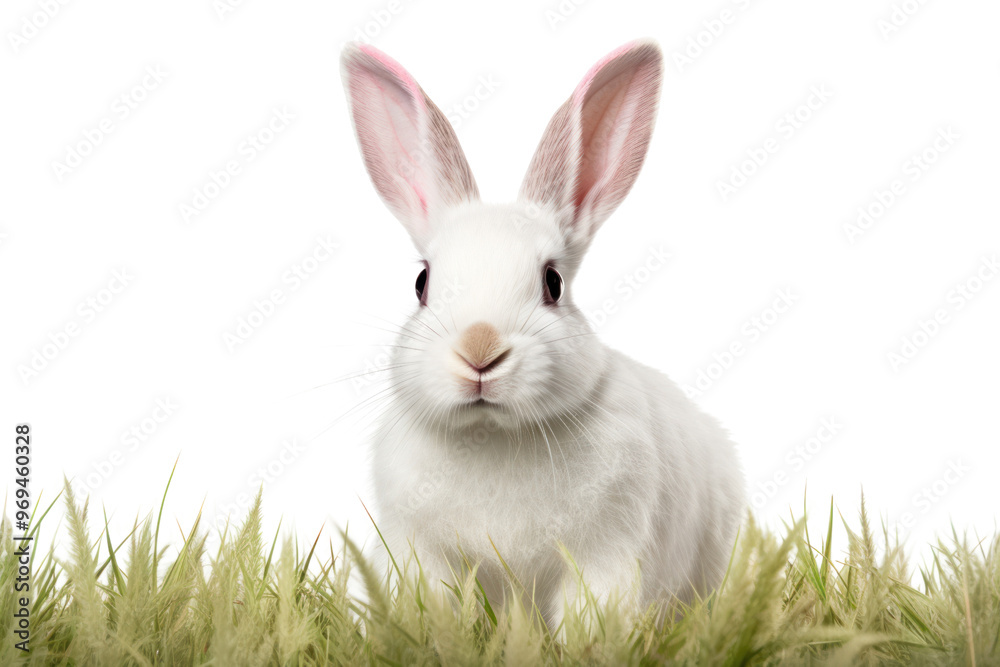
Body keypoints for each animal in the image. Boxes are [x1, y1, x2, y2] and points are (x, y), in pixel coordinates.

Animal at [340, 39, 745, 628]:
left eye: (552, 282)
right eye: (422, 282)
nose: (480, 350)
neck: (493, 436)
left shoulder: (606, 553)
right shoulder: (421, 552)